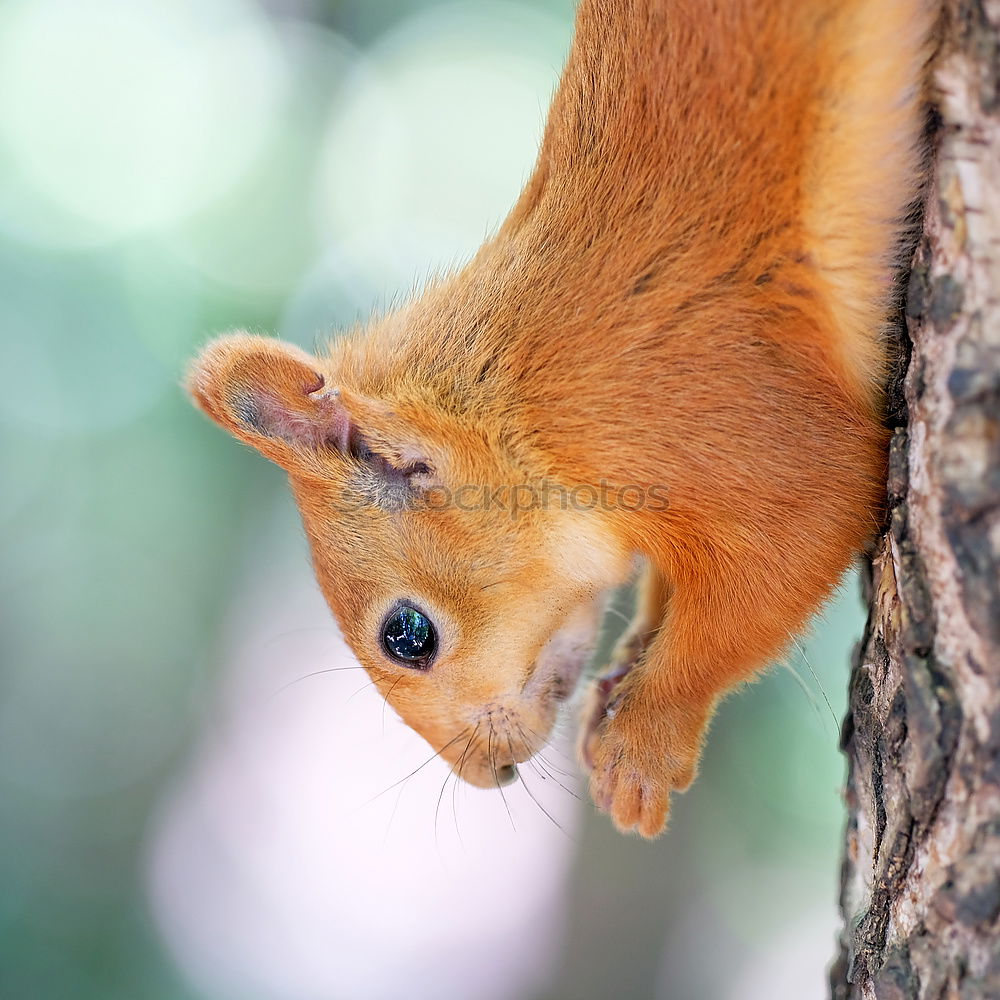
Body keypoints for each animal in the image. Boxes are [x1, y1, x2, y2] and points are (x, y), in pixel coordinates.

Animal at [189, 0, 936, 836]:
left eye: (407, 635)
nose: (487, 775)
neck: (524, 414)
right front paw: (627, 667)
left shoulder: (717, 411)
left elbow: (795, 544)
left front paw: (644, 740)